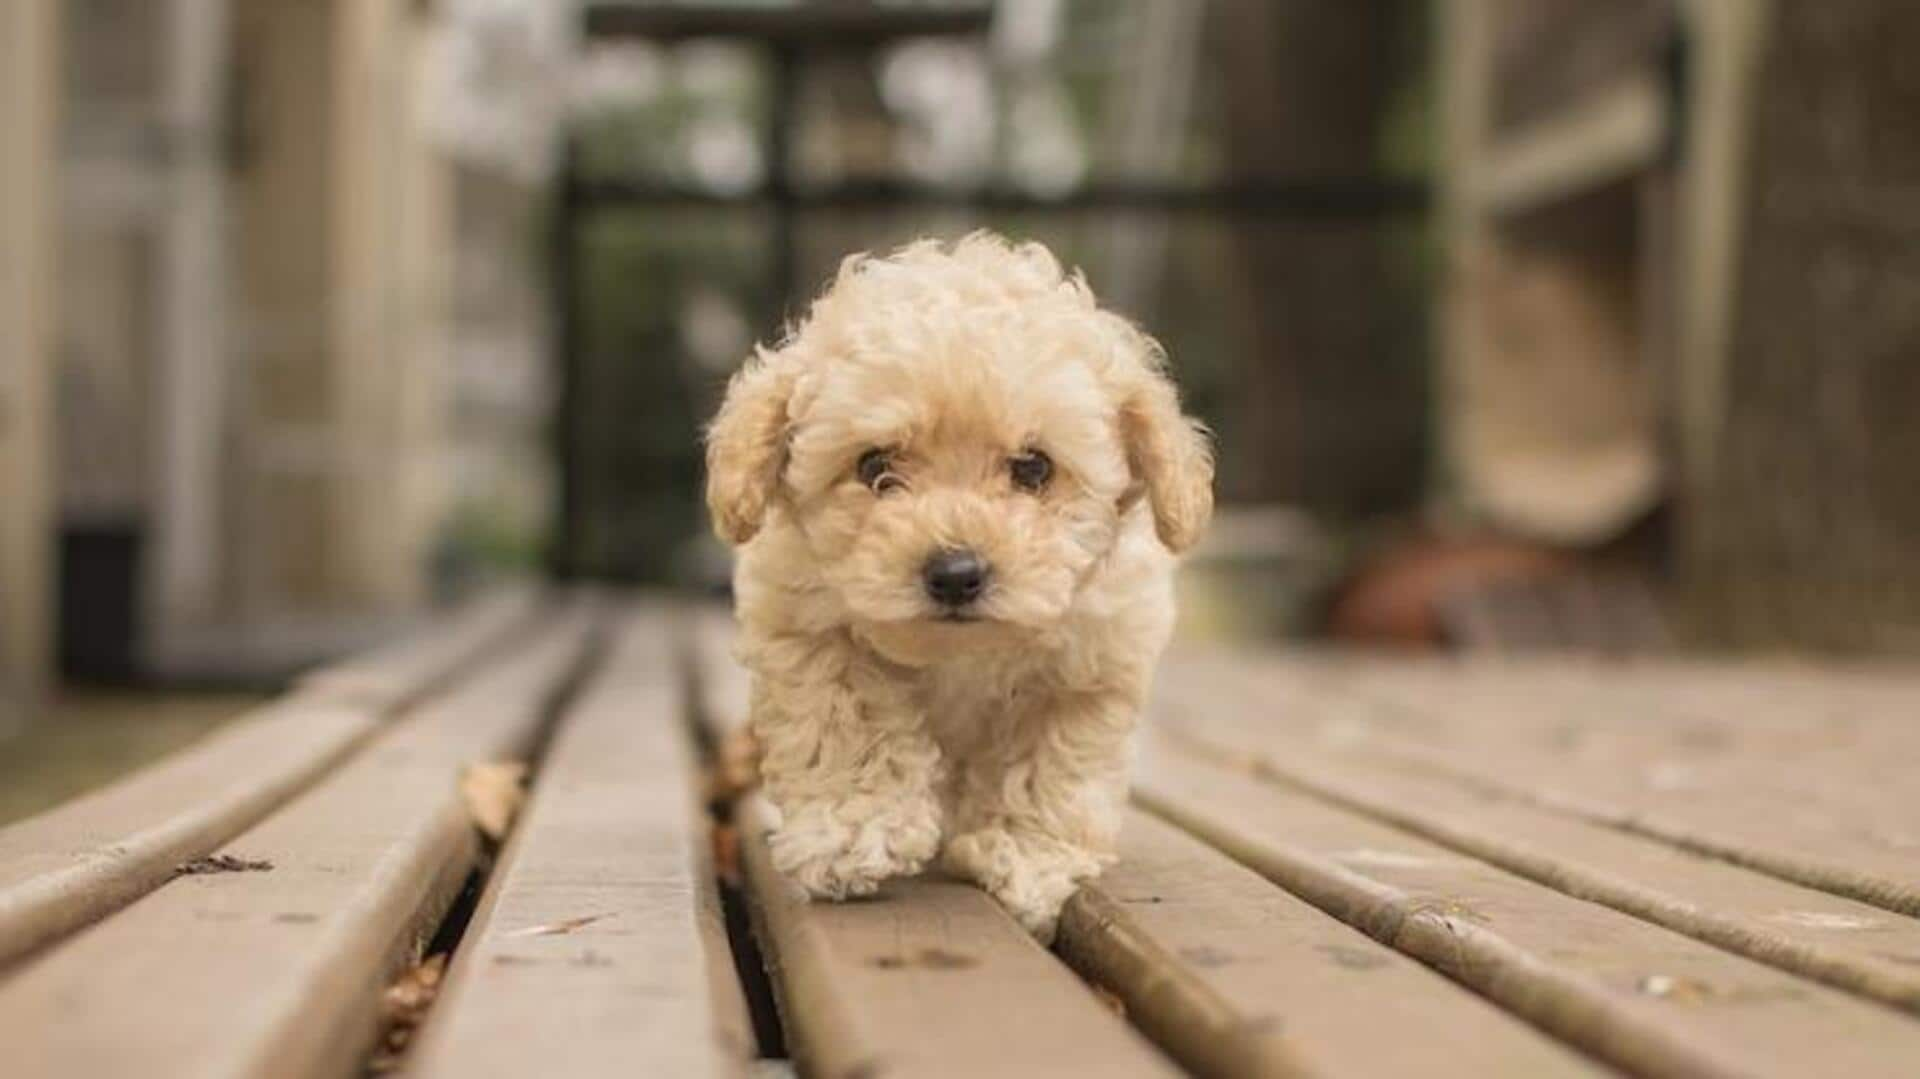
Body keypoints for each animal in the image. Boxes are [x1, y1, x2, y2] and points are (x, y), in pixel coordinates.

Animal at [706, 231, 1213, 936]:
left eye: (1034, 468)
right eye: (875, 465)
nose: (954, 574)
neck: (963, 653)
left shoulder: (1090, 662)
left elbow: (1052, 759)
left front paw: (1025, 855)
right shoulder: (808, 626)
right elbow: (850, 722)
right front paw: (852, 833)